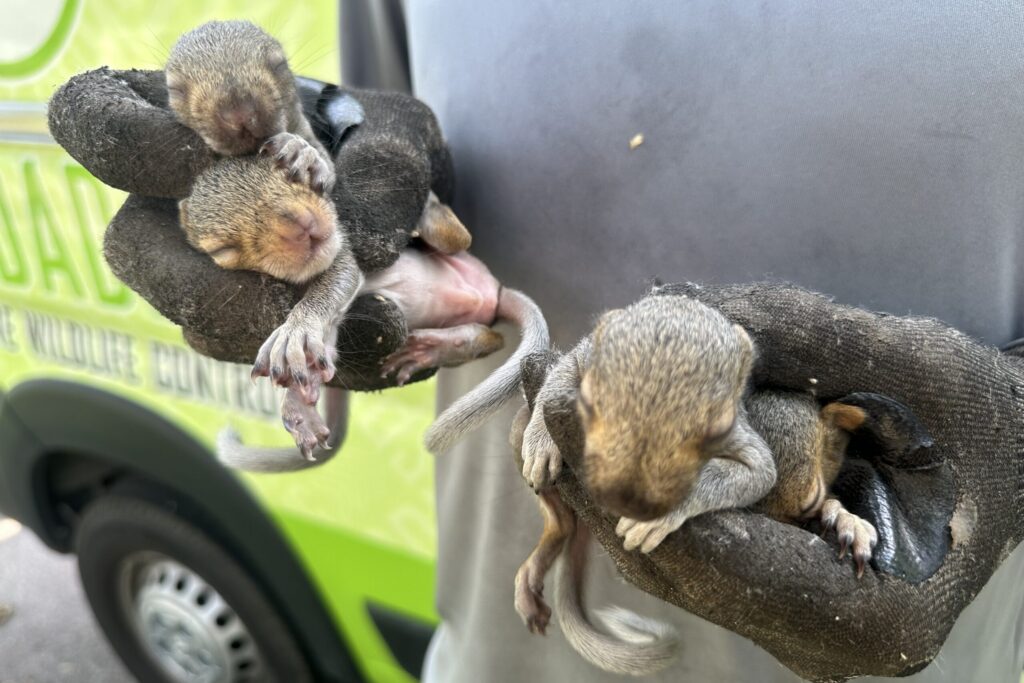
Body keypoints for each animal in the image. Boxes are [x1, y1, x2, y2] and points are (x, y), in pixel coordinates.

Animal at [179, 150, 548, 470]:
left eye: (292, 174)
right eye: (222, 250)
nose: (301, 223)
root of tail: (493, 292)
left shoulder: (345, 252)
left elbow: (333, 284)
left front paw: (294, 331)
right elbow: (325, 345)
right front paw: (299, 404)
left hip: (454, 249)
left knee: (458, 240)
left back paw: (430, 215)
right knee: (492, 338)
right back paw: (437, 347)